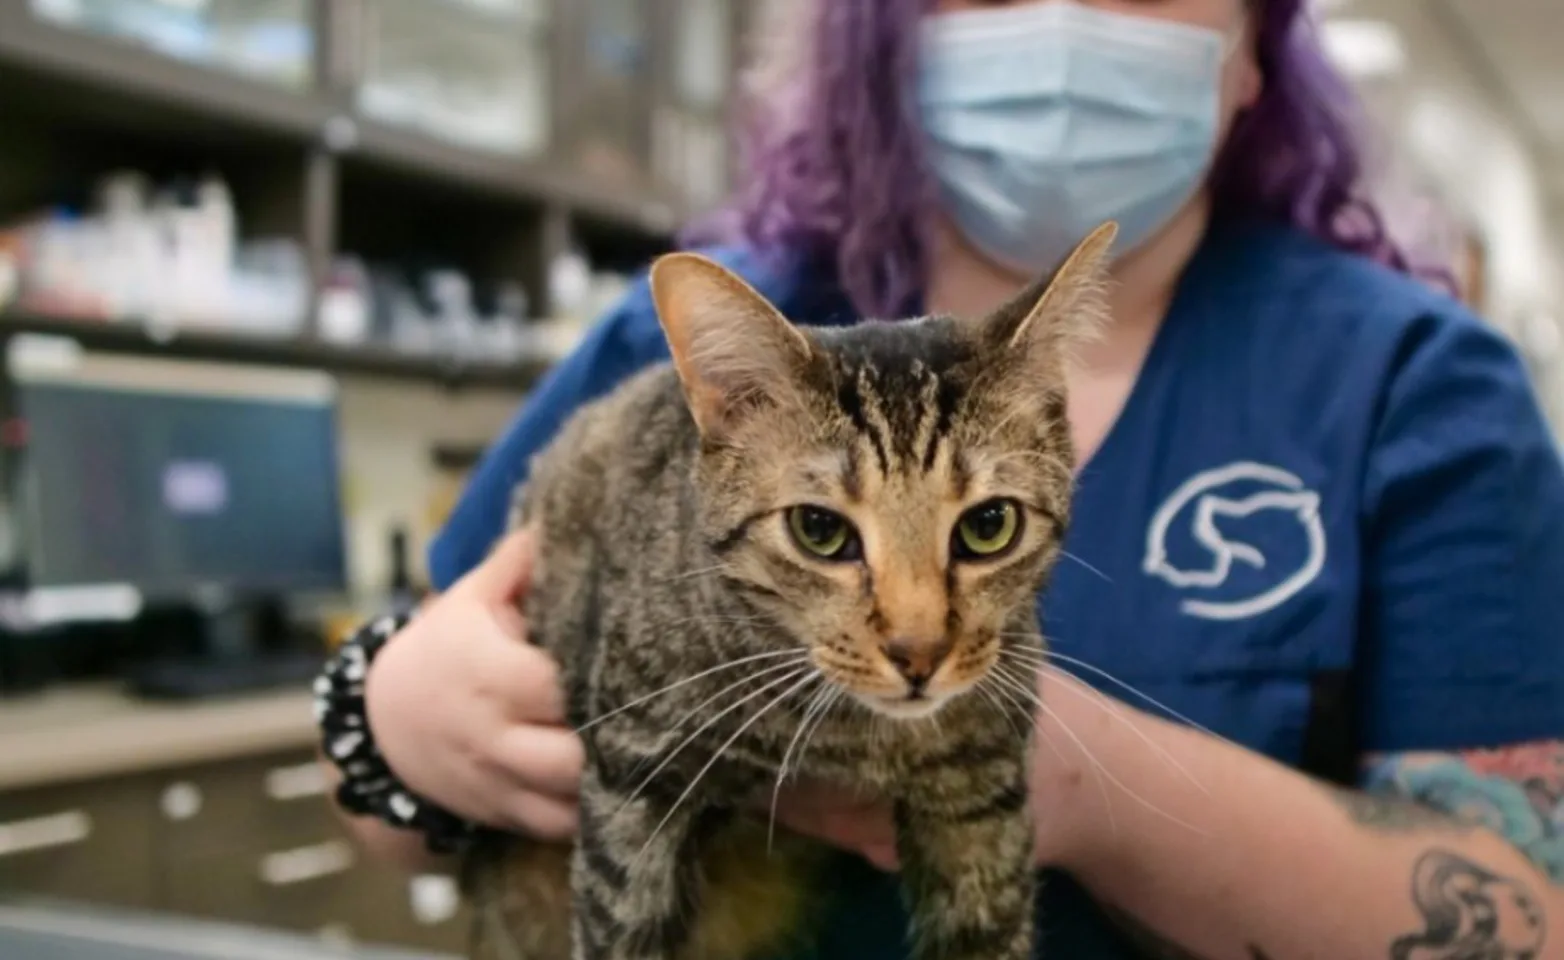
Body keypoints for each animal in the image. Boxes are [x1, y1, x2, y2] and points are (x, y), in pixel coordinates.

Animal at [456, 220, 1119, 960]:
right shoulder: (634, 779)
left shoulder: (982, 799)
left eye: (988, 526)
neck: (847, 737)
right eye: (819, 530)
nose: (919, 653)